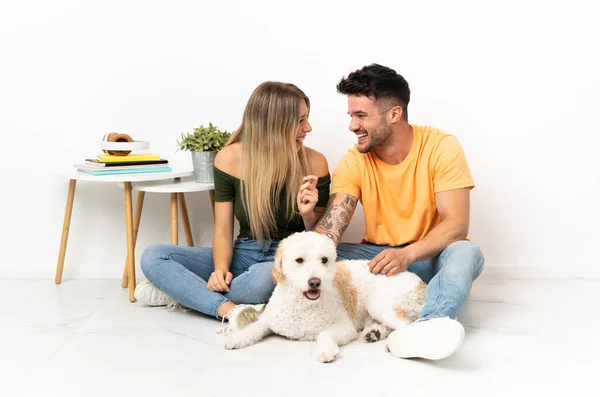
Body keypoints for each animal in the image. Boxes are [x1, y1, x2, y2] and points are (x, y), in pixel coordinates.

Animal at [224, 229, 426, 362]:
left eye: (324, 260)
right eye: (299, 260)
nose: (315, 282)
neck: (301, 304)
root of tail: (420, 283)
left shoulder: (345, 327)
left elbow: (325, 333)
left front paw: (324, 350)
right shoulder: (268, 320)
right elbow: (252, 329)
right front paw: (235, 338)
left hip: (378, 303)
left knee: (410, 326)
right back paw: (374, 333)